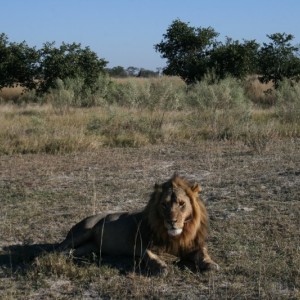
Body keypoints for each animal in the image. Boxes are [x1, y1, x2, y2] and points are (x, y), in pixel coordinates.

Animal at [58, 173, 218, 274]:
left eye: (181, 204)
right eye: (164, 205)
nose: (171, 221)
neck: (178, 236)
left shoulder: (194, 245)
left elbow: (203, 253)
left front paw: (211, 264)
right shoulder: (144, 245)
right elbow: (151, 257)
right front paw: (162, 267)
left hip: (90, 247)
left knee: (74, 251)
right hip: (84, 231)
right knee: (60, 248)